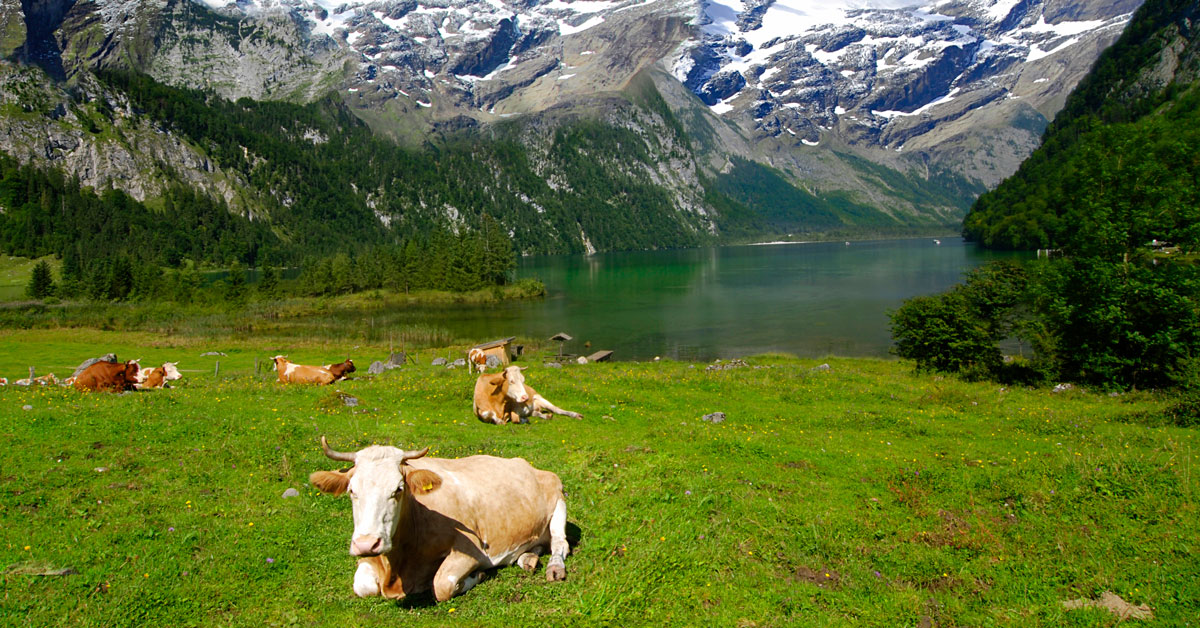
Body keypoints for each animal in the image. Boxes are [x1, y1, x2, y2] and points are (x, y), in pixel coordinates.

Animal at [312, 437, 568, 605]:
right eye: (351, 490)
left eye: (398, 489)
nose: (367, 543)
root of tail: (525, 463)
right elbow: (362, 586)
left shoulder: (471, 548)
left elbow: (442, 584)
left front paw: (478, 575)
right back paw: (528, 558)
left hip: (558, 498)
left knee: (559, 543)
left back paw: (554, 568)